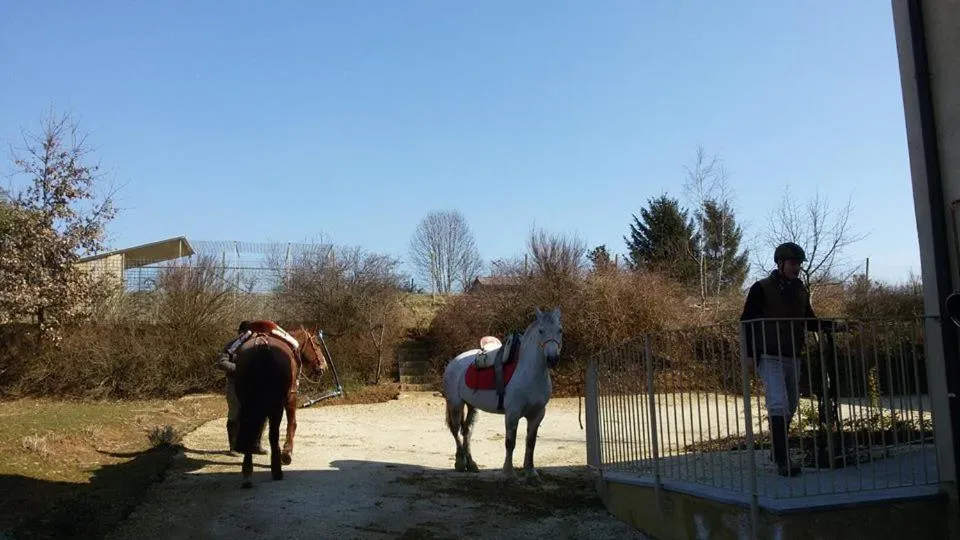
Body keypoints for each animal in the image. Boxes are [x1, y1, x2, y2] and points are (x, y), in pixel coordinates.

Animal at [232, 322, 328, 488]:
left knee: (249, 428)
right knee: (273, 434)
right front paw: (287, 453)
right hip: (276, 405)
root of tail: (262, 344)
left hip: (247, 402)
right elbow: (292, 424)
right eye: (316, 343)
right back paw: (276, 469)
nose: (324, 365)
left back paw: (247, 472)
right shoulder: (291, 396)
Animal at [442, 307, 563, 484]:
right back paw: (460, 463)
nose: (552, 358)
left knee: (467, 431)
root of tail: (454, 362)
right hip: (456, 404)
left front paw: (531, 473)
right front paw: (509, 474)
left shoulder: (537, 414)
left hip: (472, 406)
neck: (529, 373)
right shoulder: (512, 414)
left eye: (560, 330)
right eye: (541, 331)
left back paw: (471, 463)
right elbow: (510, 442)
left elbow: (531, 443)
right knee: (456, 430)